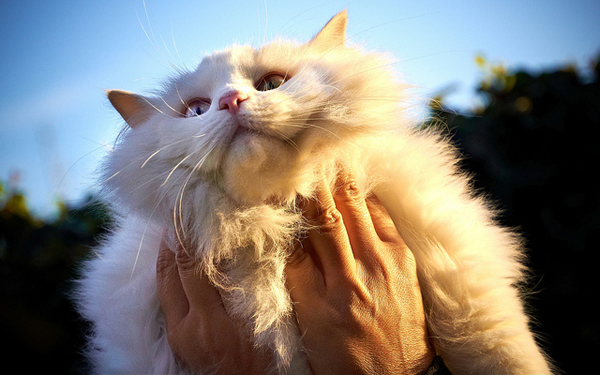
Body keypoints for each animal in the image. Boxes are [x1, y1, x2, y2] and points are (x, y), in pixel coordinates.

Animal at [78, 11, 552, 375]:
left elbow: (498, 353)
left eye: (271, 84)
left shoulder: (469, 294)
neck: (270, 229)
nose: (231, 100)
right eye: (196, 110)